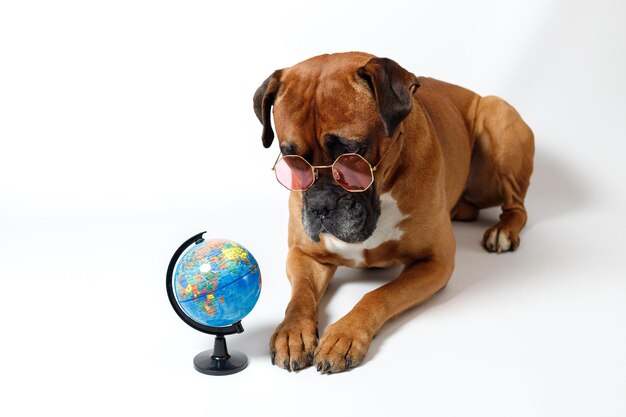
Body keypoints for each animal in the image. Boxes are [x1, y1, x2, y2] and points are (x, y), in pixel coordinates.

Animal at [252, 50, 532, 372]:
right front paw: (293, 331)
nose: (320, 204)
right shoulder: (304, 255)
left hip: (496, 114)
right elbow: (300, 296)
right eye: (292, 160)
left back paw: (503, 230)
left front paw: (345, 334)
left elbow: (378, 294)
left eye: (352, 155)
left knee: (517, 206)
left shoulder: (435, 262)